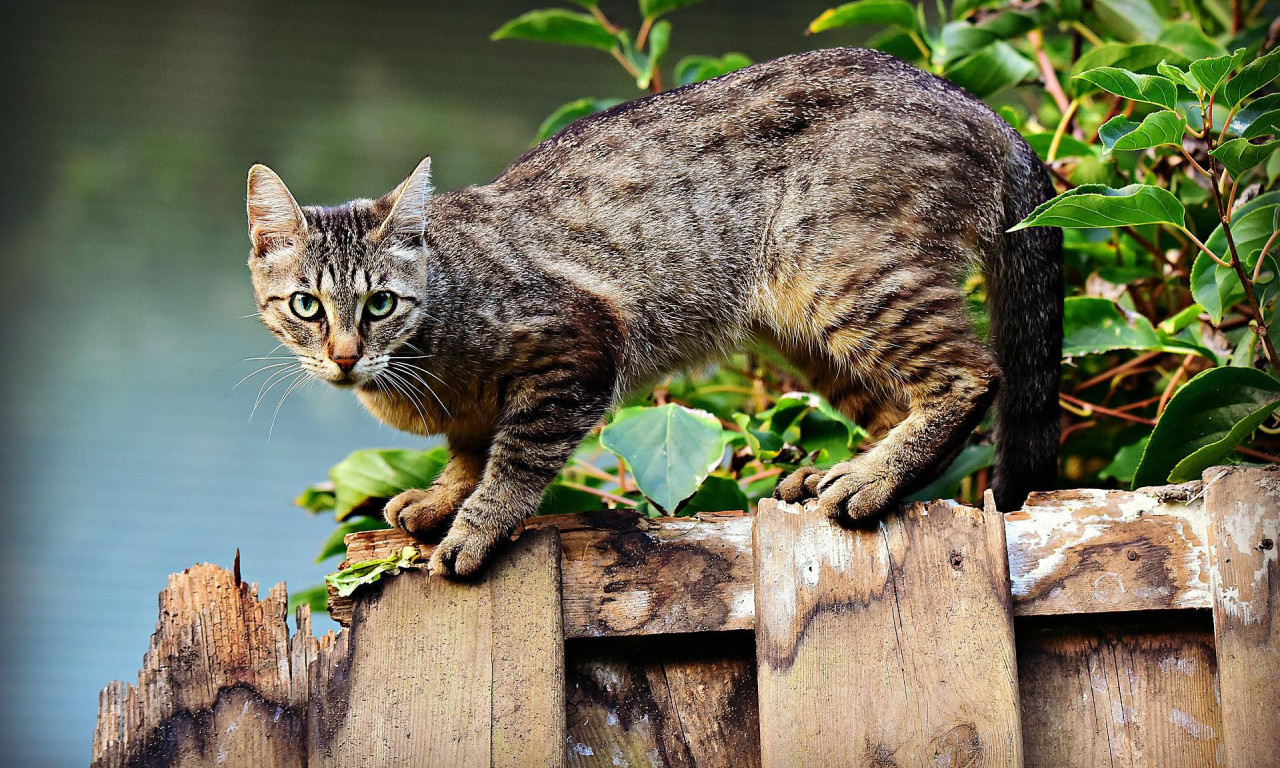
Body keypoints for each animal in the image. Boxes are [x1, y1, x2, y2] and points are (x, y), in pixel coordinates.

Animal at [247, 48, 1059, 576]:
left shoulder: (578, 346)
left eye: (380, 303)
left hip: (846, 277)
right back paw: (843, 471)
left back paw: (871, 480)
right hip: (804, 328)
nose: (345, 355)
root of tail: (982, 108)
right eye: (306, 306)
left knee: (972, 376)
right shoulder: (476, 411)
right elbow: (469, 452)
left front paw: (476, 525)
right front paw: (444, 498)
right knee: (895, 401)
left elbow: (515, 458)